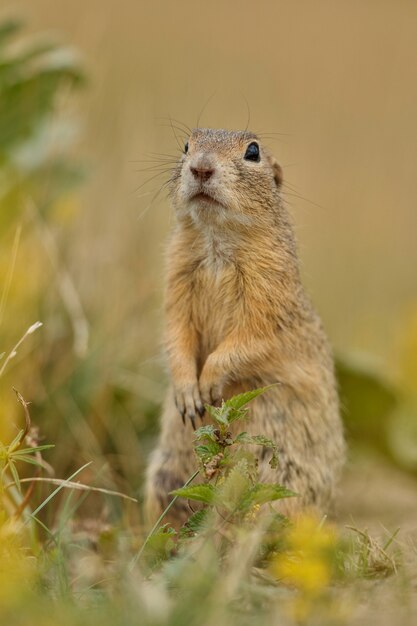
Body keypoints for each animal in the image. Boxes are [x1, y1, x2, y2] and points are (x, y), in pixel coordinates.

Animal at [144, 128, 344, 528]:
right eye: (186, 145)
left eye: (253, 151)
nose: (201, 167)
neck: (216, 242)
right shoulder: (175, 279)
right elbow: (175, 333)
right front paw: (187, 394)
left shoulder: (269, 296)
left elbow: (251, 340)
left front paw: (208, 383)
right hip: (165, 475)